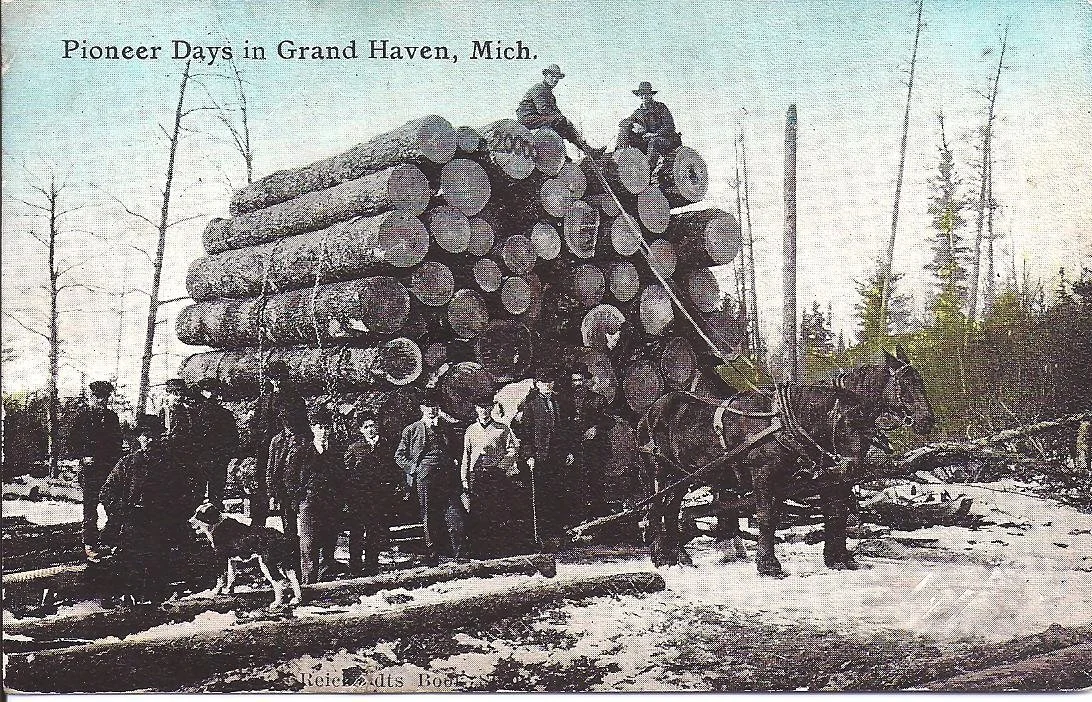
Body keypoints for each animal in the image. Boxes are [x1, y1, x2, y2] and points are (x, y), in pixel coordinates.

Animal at [637, 347, 934, 576]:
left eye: (921, 381)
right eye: (907, 384)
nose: (928, 420)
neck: (793, 420)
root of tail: (650, 412)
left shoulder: (813, 479)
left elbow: (834, 515)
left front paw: (838, 559)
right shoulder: (764, 476)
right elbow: (768, 517)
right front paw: (769, 566)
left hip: (683, 476)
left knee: (671, 510)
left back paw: (680, 557)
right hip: (662, 472)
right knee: (656, 509)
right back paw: (661, 557)